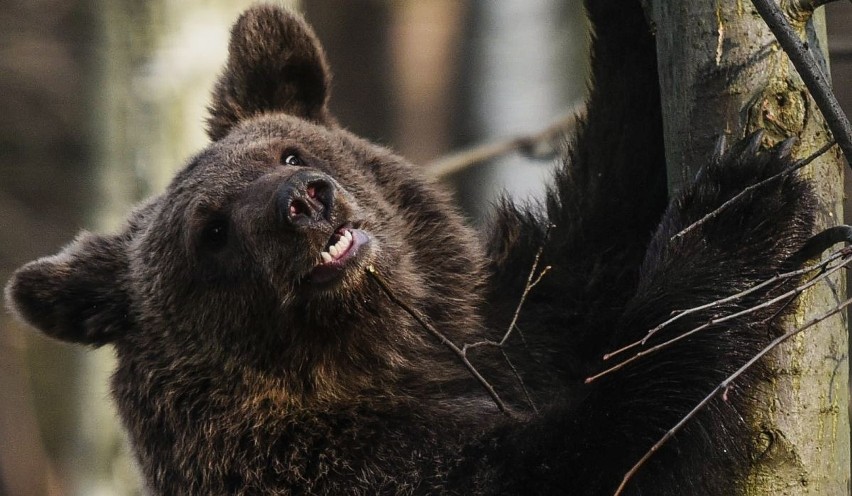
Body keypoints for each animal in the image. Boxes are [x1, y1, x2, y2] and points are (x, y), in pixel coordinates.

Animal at [3, 1, 824, 494]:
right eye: (210, 230)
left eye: (288, 151)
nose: (305, 202)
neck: (394, 358)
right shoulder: (341, 464)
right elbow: (599, 449)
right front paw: (742, 216)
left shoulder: (528, 322)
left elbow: (615, 186)